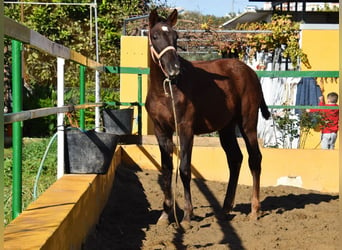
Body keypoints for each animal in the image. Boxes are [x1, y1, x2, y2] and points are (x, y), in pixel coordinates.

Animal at [145, 8, 270, 227]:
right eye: (155, 36)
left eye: (176, 36)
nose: (174, 69)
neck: (166, 91)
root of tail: (251, 72)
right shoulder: (161, 130)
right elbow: (167, 169)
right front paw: (165, 214)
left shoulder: (186, 129)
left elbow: (184, 169)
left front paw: (187, 216)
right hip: (226, 128)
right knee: (235, 159)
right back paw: (225, 208)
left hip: (247, 124)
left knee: (255, 159)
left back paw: (254, 210)